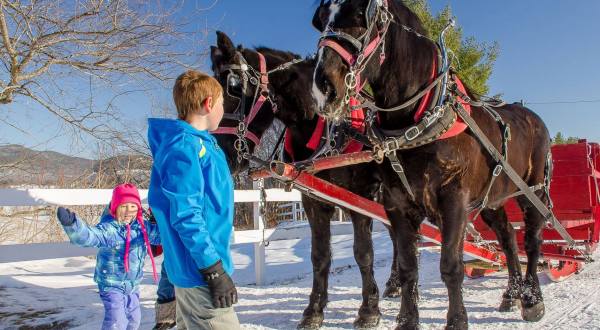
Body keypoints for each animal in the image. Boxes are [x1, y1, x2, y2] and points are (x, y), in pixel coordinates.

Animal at [211, 30, 398, 328]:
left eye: (234, 87)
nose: (223, 152)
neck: (321, 126)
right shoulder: (313, 201)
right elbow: (319, 256)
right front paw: (314, 310)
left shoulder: (361, 195)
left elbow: (363, 252)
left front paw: (369, 309)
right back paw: (395, 283)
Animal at [314, 1, 552, 328]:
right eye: (322, 20)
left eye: (363, 19)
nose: (323, 87)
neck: (416, 121)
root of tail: (535, 119)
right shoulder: (397, 205)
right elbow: (407, 268)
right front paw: (407, 320)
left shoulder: (454, 201)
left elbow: (451, 267)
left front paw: (457, 320)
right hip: (492, 200)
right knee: (508, 238)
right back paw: (512, 293)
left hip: (533, 191)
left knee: (532, 240)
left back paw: (531, 299)